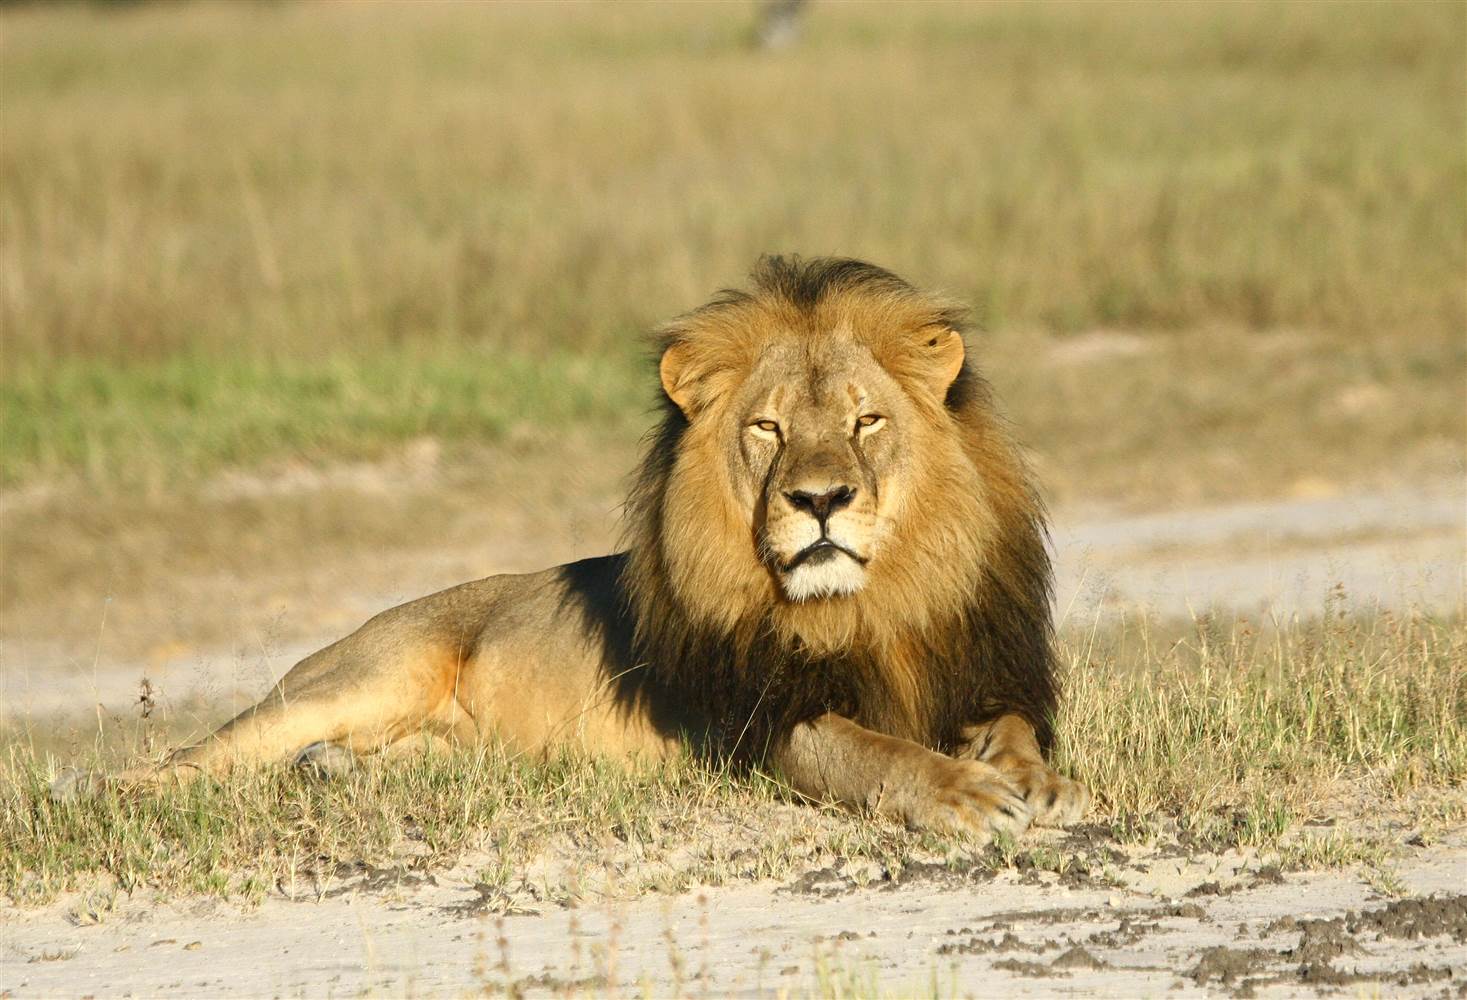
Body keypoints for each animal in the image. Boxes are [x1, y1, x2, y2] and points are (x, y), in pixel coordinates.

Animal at [57, 256, 1088, 839]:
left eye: (866, 420)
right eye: (766, 429)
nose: (821, 499)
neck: (870, 605)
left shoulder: (980, 673)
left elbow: (1015, 731)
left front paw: (1037, 785)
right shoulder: (759, 725)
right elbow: (871, 754)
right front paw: (964, 795)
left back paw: (334, 771)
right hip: (357, 677)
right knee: (196, 756)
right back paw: (96, 792)